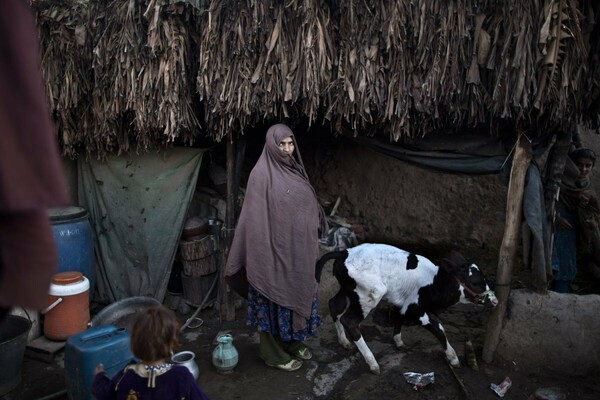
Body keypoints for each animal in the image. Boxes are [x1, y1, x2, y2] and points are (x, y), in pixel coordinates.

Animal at [316, 244, 500, 376]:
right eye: (475, 282)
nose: (495, 301)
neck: (436, 281)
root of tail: (343, 253)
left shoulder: (404, 303)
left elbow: (399, 317)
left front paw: (398, 341)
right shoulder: (415, 309)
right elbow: (439, 328)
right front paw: (453, 357)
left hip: (348, 290)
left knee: (334, 304)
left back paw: (344, 341)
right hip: (371, 293)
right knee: (350, 321)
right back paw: (373, 363)